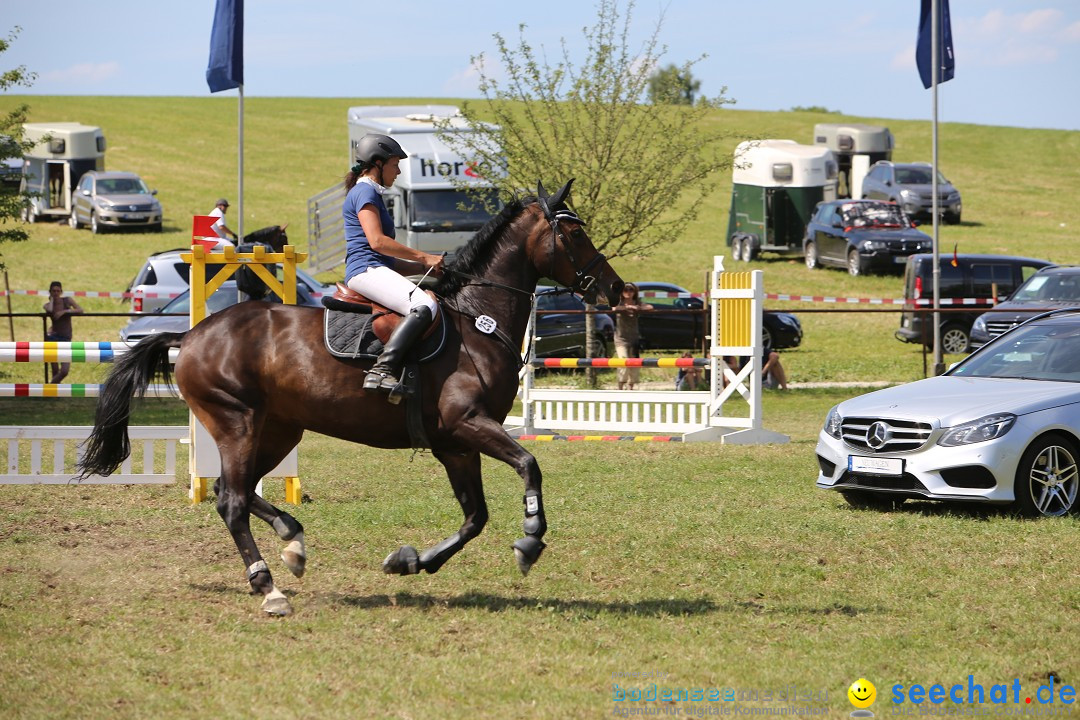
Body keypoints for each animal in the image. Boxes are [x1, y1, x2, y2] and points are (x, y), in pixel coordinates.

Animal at [78, 180, 626, 613]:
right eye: (574, 234)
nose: (616, 290)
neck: (478, 319)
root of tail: (189, 336)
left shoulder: (456, 444)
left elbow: (475, 518)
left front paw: (409, 561)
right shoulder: (469, 424)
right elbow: (530, 464)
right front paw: (530, 540)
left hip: (278, 429)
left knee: (236, 491)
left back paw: (292, 540)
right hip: (237, 422)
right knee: (231, 499)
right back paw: (268, 586)